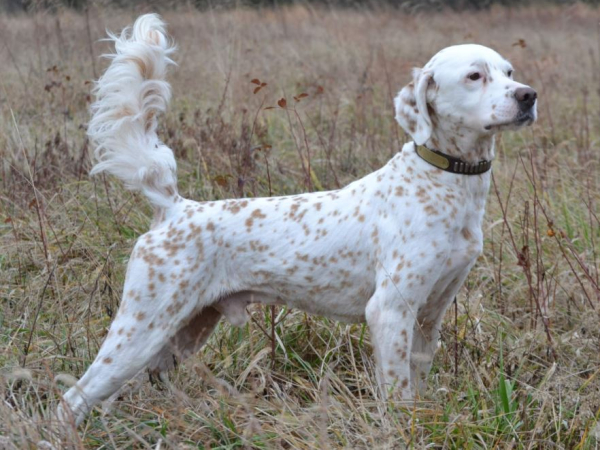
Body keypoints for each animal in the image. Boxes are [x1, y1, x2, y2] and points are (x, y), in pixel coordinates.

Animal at [58, 12, 536, 424]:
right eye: (475, 76)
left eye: (510, 72)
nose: (528, 95)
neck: (445, 181)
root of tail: (175, 207)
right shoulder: (389, 309)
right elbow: (397, 397)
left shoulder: (429, 314)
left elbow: (415, 386)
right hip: (139, 331)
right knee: (72, 399)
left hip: (181, 333)